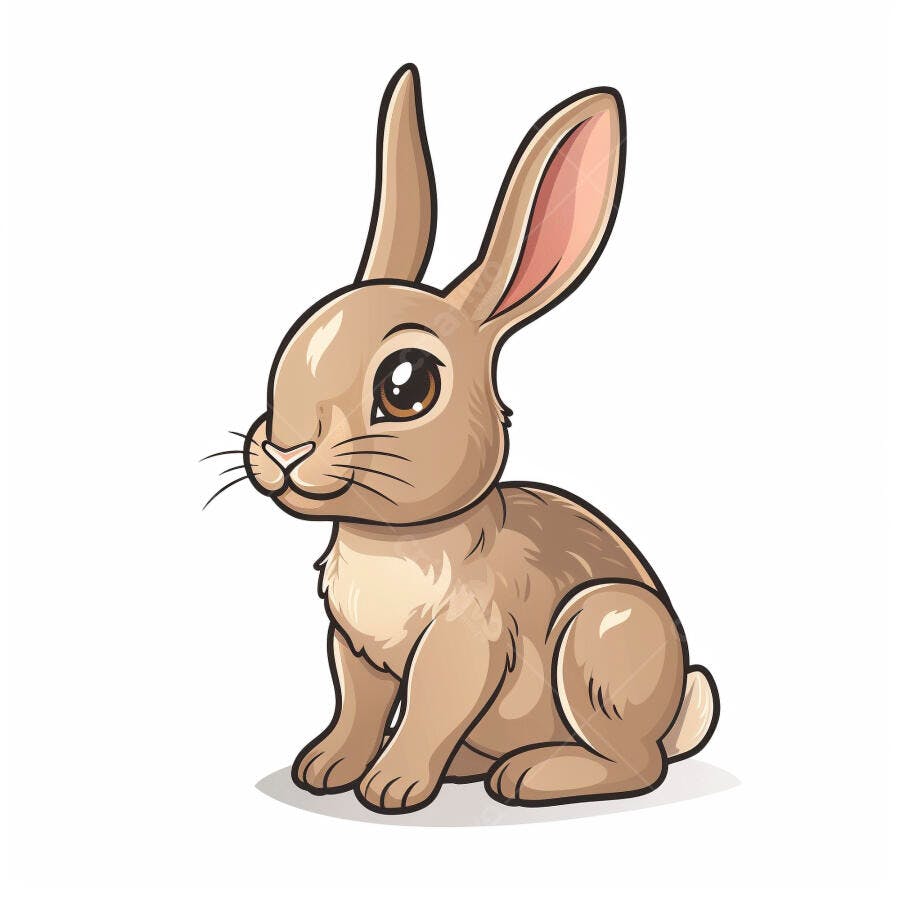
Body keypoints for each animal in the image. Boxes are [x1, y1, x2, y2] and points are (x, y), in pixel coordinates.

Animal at [237, 64, 719, 813]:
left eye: (407, 385)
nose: (284, 454)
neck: (398, 541)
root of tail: (678, 712)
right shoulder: (355, 651)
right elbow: (358, 710)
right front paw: (323, 768)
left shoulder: (466, 646)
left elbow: (428, 713)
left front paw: (392, 788)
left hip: (601, 634)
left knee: (638, 765)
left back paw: (530, 776)